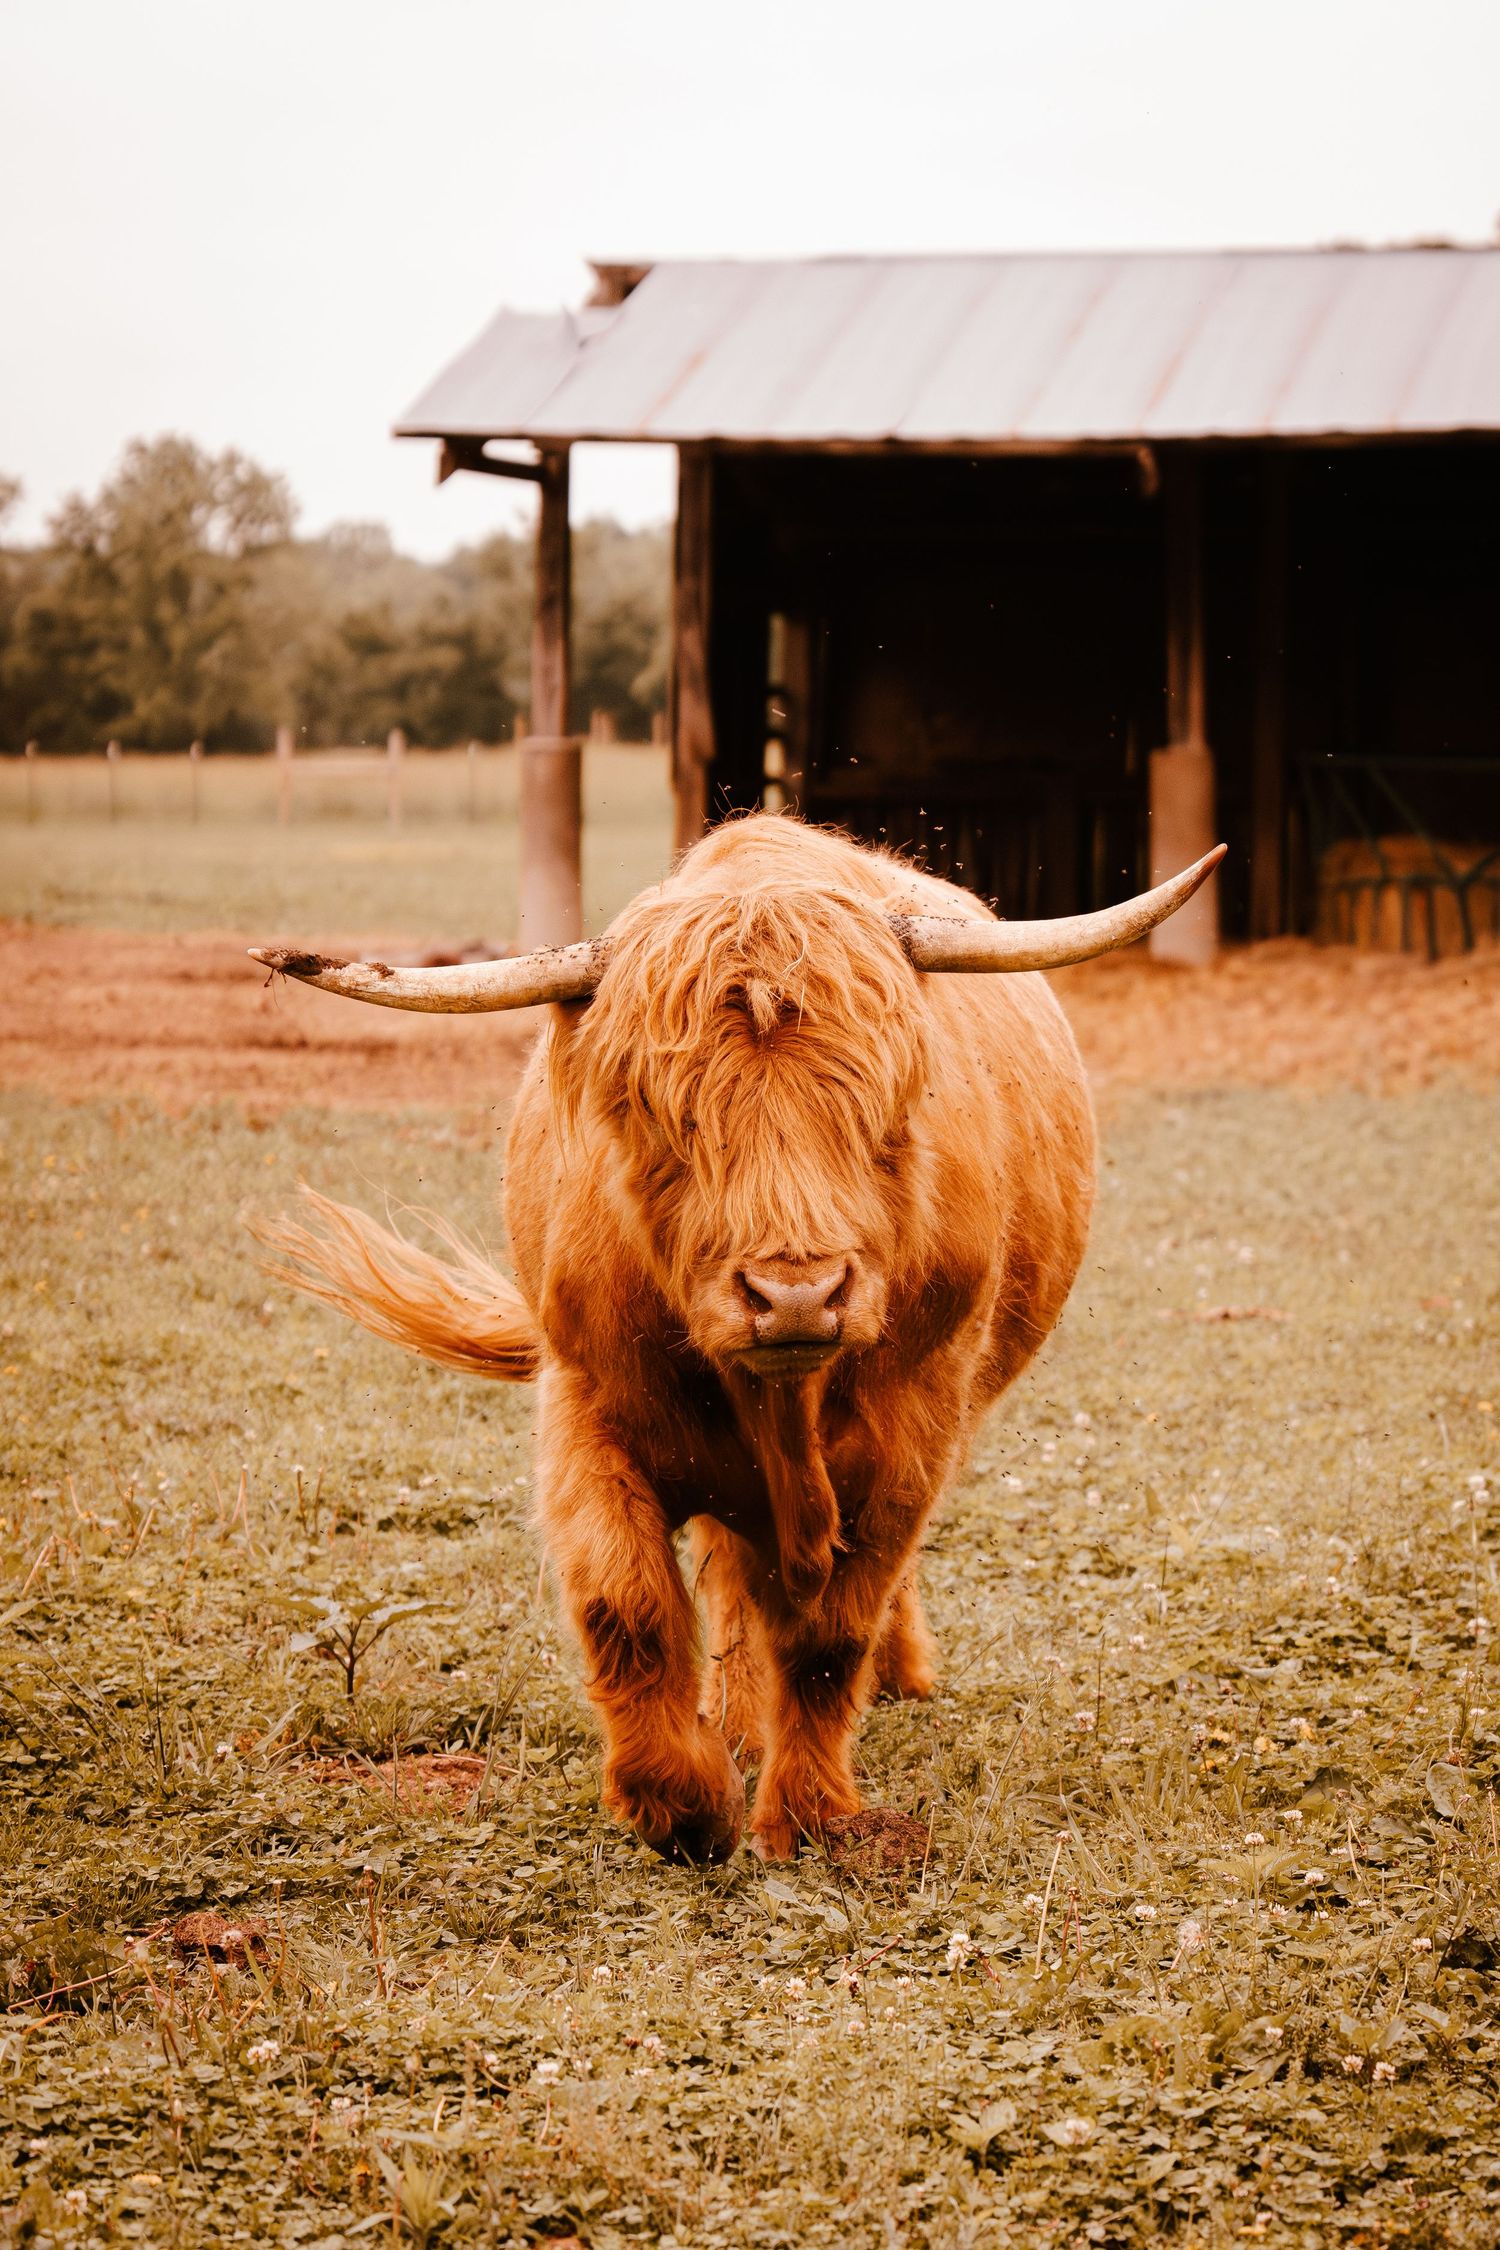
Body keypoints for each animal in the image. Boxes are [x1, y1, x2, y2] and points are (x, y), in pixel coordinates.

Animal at [252, 815, 1221, 1865]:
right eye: (657, 1110)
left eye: (889, 1106)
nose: (794, 1296)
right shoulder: (588, 1403)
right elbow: (627, 1602)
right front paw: (680, 1803)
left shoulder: (914, 1426)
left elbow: (833, 1631)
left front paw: (807, 1816)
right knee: (728, 1576)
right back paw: (734, 1718)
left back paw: (892, 1676)